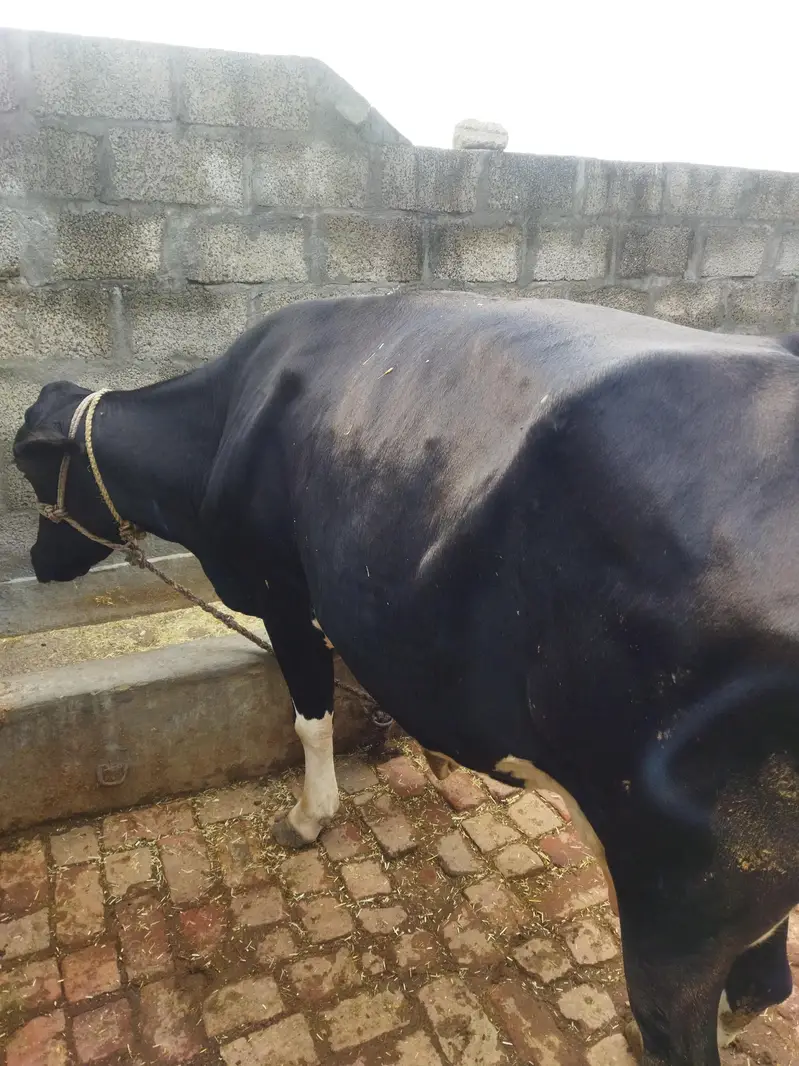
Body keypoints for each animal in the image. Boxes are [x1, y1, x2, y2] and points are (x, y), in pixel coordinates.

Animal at [12, 291, 799, 1065]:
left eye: (30, 472)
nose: (41, 563)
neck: (219, 429)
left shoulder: (281, 590)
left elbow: (310, 715)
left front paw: (309, 816)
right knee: (764, 984)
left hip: (677, 889)